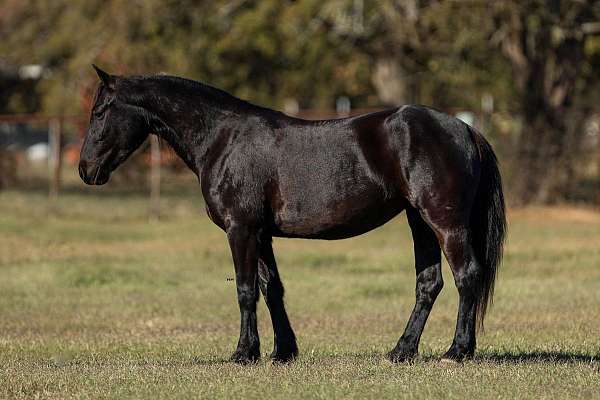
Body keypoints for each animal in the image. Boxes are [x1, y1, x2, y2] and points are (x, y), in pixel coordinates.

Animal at [77, 66, 504, 366]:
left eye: (100, 111)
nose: (85, 170)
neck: (223, 139)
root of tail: (464, 128)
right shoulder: (261, 233)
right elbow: (272, 289)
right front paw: (282, 351)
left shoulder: (240, 229)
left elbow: (245, 290)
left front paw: (243, 353)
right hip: (419, 222)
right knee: (429, 284)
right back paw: (402, 351)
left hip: (444, 222)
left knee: (467, 276)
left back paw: (456, 351)